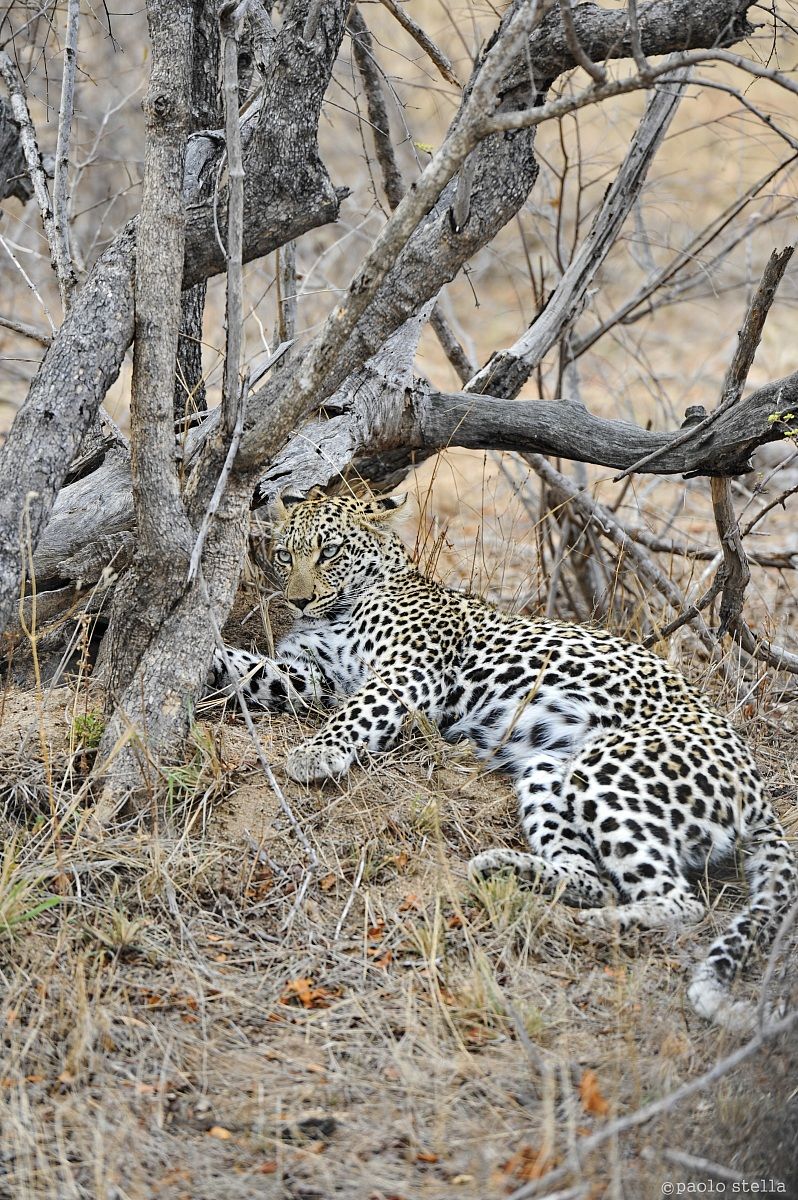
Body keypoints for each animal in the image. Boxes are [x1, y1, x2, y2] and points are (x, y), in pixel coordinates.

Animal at [211, 489, 797, 1030]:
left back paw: (589, 925)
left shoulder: (411, 672)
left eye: (329, 551)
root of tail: (756, 786)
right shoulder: (311, 677)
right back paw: (505, 871)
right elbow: (250, 670)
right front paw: (210, 655)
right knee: (593, 877)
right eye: (285, 555)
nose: (298, 601)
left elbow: (363, 707)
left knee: (680, 903)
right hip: (549, 771)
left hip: (608, 768)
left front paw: (317, 753)